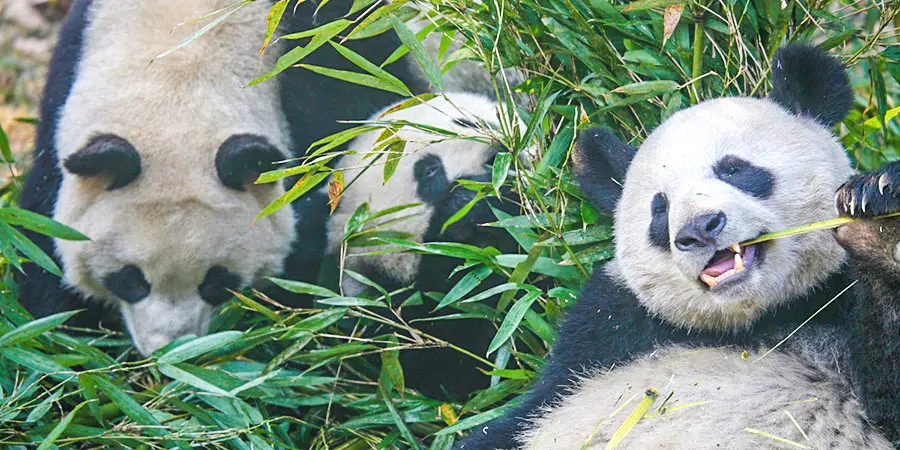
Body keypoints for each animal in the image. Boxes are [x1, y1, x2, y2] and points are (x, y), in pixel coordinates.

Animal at [458, 44, 900, 448]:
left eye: (734, 169)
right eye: (660, 208)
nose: (699, 229)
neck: (759, 319)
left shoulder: (833, 298)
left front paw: (879, 218)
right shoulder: (605, 334)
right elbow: (514, 419)